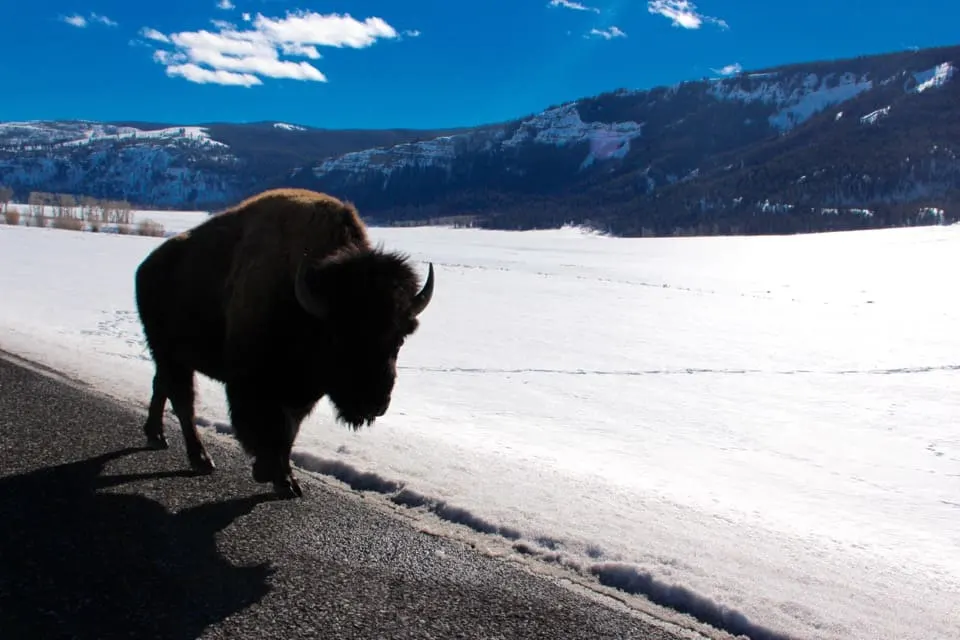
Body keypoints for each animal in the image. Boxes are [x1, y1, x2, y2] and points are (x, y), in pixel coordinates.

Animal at [134, 188, 436, 498]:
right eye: (339, 336)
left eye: (400, 338)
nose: (373, 403)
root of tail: (146, 266)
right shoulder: (254, 385)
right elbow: (270, 428)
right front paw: (271, 473)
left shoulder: (302, 392)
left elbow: (290, 431)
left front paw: (286, 479)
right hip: (169, 352)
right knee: (183, 400)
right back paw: (201, 459)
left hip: (171, 355)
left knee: (163, 386)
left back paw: (156, 436)